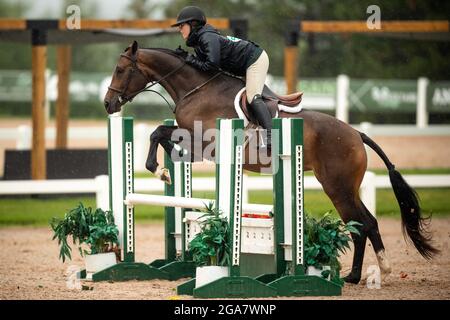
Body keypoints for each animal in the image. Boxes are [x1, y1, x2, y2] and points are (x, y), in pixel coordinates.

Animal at [103, 41, 438, 284]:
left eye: (119, 69)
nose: (108, 104)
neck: (196, 89)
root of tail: (356, 133)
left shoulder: (206, 144)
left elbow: (158, 133)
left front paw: (159, 169)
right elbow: (161, 133)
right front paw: (165, 169)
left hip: (338, 187)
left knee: (362, 225)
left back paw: (367, 274)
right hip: (345, 187)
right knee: (366, 223)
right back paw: (368, 272)